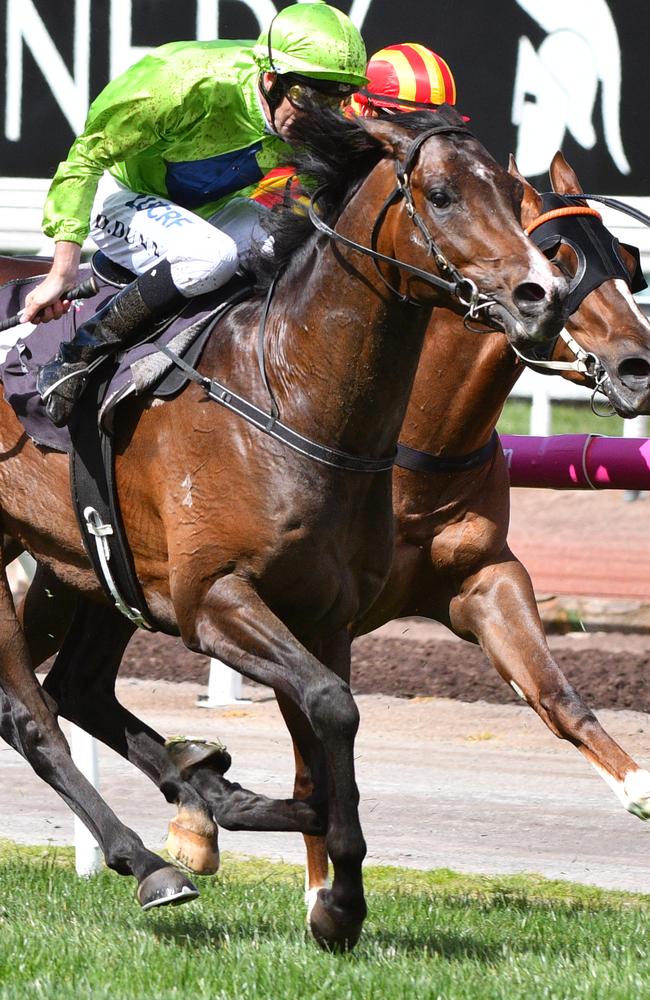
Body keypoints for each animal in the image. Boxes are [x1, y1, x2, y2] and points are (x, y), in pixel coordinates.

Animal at [0, 105, 560, 948]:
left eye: (514, 194)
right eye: (441, 195)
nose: (539, 295)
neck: (289, 393)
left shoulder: (321, 611)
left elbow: (325, 731)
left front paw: (325, 886)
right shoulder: (213, 599)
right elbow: (331, 708)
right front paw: (334, 888)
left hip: (95, 569)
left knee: (79, 688)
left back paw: (199, 795)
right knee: (33, 720)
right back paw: (151, 862)